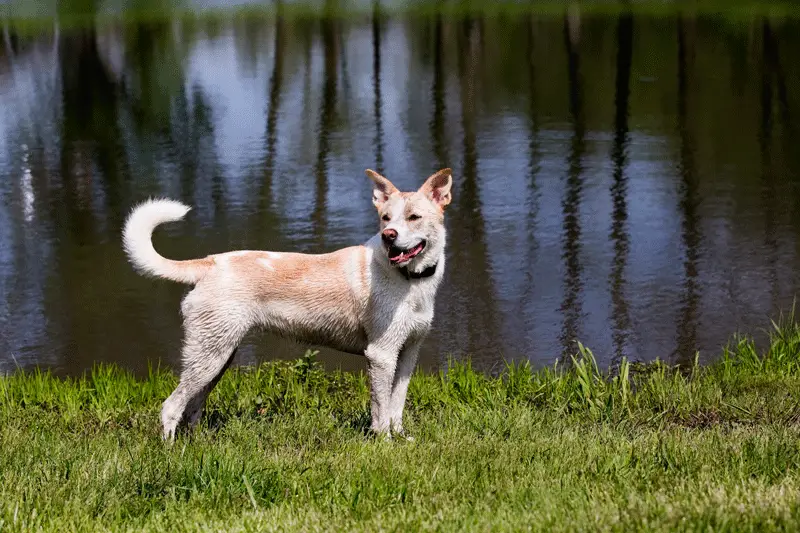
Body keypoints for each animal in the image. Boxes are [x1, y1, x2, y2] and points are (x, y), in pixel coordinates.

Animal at [122, 168, 454, 438]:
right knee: (171, 406)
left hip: (218, 356)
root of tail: (211, 263)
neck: (409, 280)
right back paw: (171, 453)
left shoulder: (408, 352)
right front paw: (383, 443)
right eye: (385, 218)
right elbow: (381, 409)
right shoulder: (381, 355)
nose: (389, 236)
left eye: (414, 217)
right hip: (208, 356)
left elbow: (397, 403)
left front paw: (401, 438)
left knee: (193, 407)